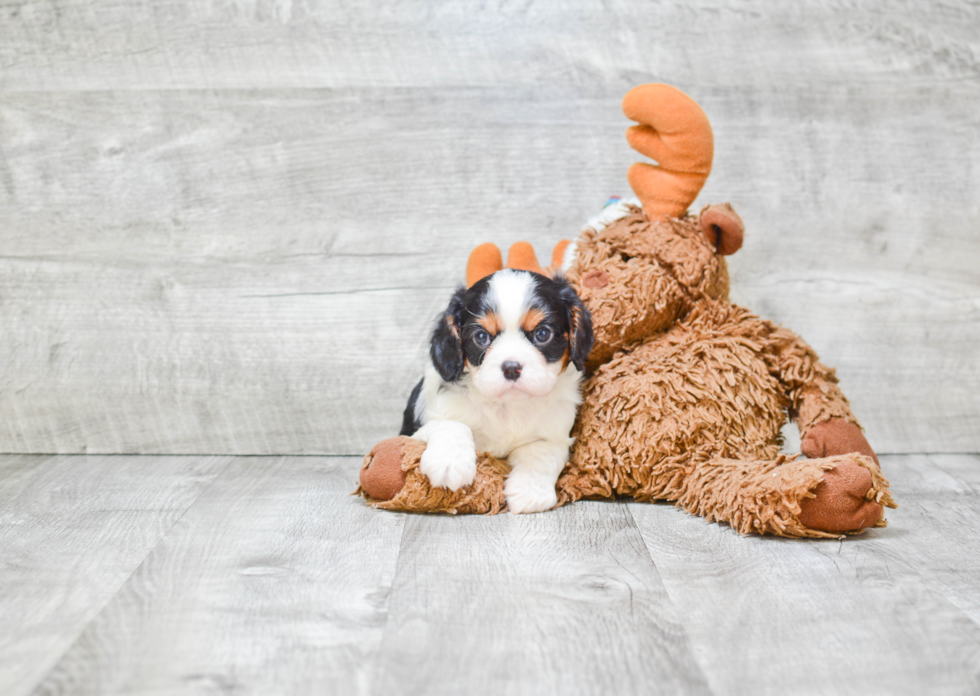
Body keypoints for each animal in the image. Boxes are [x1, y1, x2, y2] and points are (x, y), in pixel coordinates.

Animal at [396, 270, 592, 512]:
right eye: (481, 337)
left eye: (542, 334)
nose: (511, 368)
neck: (509, 405)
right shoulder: (413, 432)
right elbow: (451, 425)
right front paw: (449, 463)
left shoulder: (556, 433)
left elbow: (542, 452)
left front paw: (530, 493)